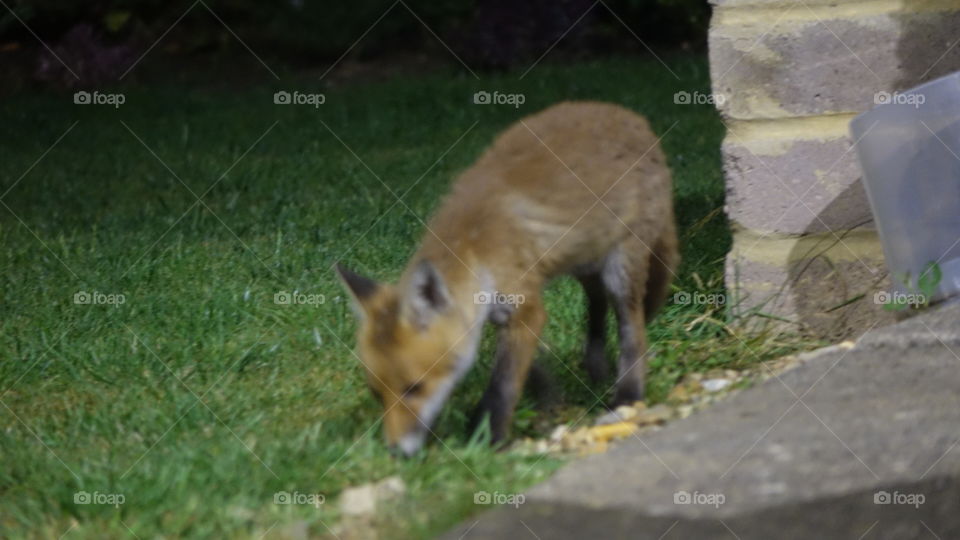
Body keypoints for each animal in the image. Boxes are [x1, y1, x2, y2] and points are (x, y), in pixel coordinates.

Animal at [336, 101, 678, 456]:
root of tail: (633, 118)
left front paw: (488, 437)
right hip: (584, 259)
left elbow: (503, 384)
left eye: (414, 388)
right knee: (595, 303)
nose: (396, 452)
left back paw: (627, 396)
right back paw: (596, 367)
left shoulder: (524, 307)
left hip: (620, 267)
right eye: (377, 393)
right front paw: (548, 396)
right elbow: (528, 368)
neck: (476, 249)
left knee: (632, 329)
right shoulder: (501, 312)